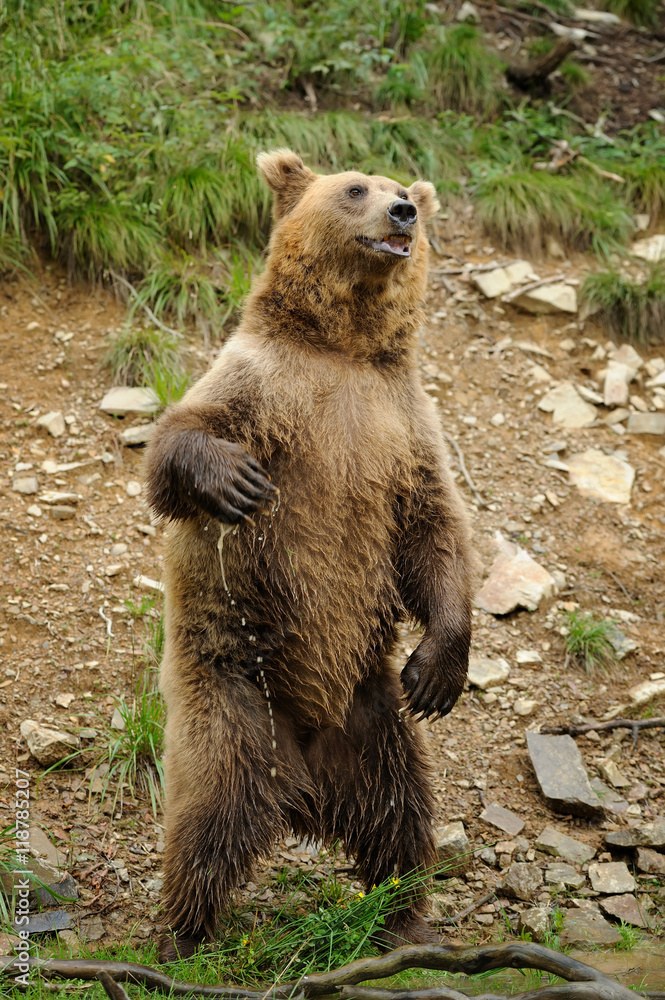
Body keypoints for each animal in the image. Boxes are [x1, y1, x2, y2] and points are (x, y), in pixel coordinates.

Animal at [144, 149, 474, 962]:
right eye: (355, 188)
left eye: (401, 188)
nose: (403, 211)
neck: (344, 346)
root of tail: (306, 791)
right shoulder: (266, 385)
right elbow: (177, 440)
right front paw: (235, 480)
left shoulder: (401, 421)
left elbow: (436, 534)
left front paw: (439, 667)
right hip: (232, 697)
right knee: (207, 816)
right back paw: (181, 937)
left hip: (373, 718)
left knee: (399, 815)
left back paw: (404, 918)